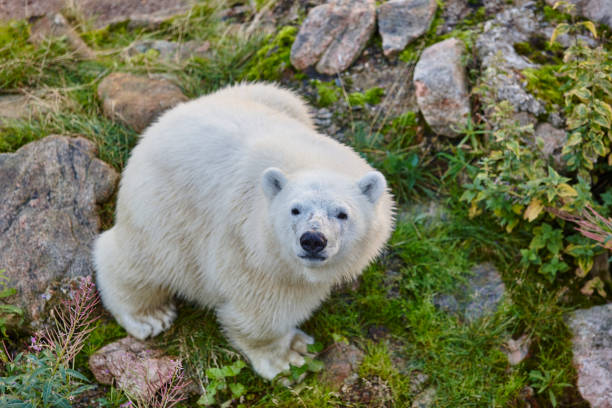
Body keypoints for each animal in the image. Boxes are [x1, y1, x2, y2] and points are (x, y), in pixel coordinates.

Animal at [93, 83, 394, 380]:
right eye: (295, 209)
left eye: (342, 213)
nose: (312, 240)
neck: (305, 159)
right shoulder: (245, 240)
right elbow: (261, 305)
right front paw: (288, 356)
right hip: (164, 206)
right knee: (145, 258)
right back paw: (149, 315)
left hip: (276, 97)